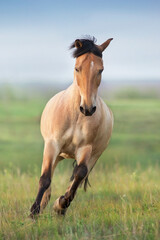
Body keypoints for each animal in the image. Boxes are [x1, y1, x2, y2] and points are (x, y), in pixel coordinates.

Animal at [30, 36, 114, 218]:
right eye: (77, 68)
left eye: (101, 70)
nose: (88, 109)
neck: (75, 115)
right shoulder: (52, 144)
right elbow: (45, 178)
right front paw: (33, 212)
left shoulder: (86, 148)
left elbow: (79, 173)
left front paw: (60, 204)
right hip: (56, 153)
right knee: (48, 178)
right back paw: (44, 203)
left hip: (94, 155)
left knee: (79, 177)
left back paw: (61, 206)